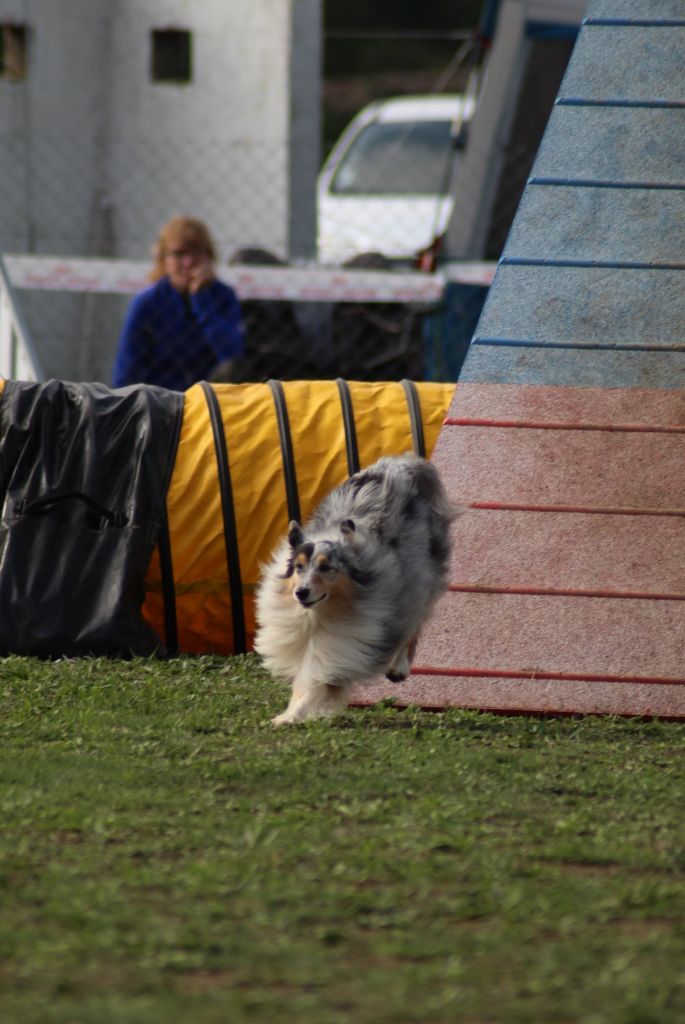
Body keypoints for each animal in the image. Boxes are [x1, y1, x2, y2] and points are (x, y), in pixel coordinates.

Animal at [253, 452, 456, 724]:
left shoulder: (347, 640)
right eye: (298, 567)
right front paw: (292, 712)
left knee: (414, 624)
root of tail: (402, 463)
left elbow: (318, 680)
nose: (301, 593)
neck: (320, 614)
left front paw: (290, 716)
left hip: (419, 578)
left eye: (327, 567)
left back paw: (398, 668)